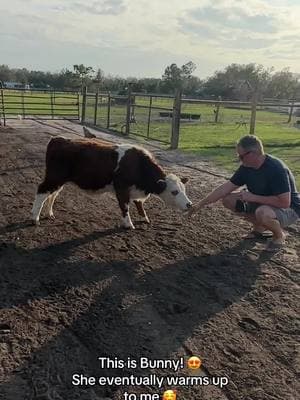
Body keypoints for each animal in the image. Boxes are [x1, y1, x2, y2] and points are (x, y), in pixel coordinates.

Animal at [31, 135, 191, 227]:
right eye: (174, 191)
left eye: (184, 189)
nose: (189, 204)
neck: (138, 164)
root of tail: (59, 140)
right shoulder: (121, 188)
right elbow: (125, 206)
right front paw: (128, 224)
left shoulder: (135, 190)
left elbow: (139, 204)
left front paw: (145, 218)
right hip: (54, 177)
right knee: (41, 191)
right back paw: (35, 217)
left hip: (59, 180)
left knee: (52, 194)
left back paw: (49, 213)